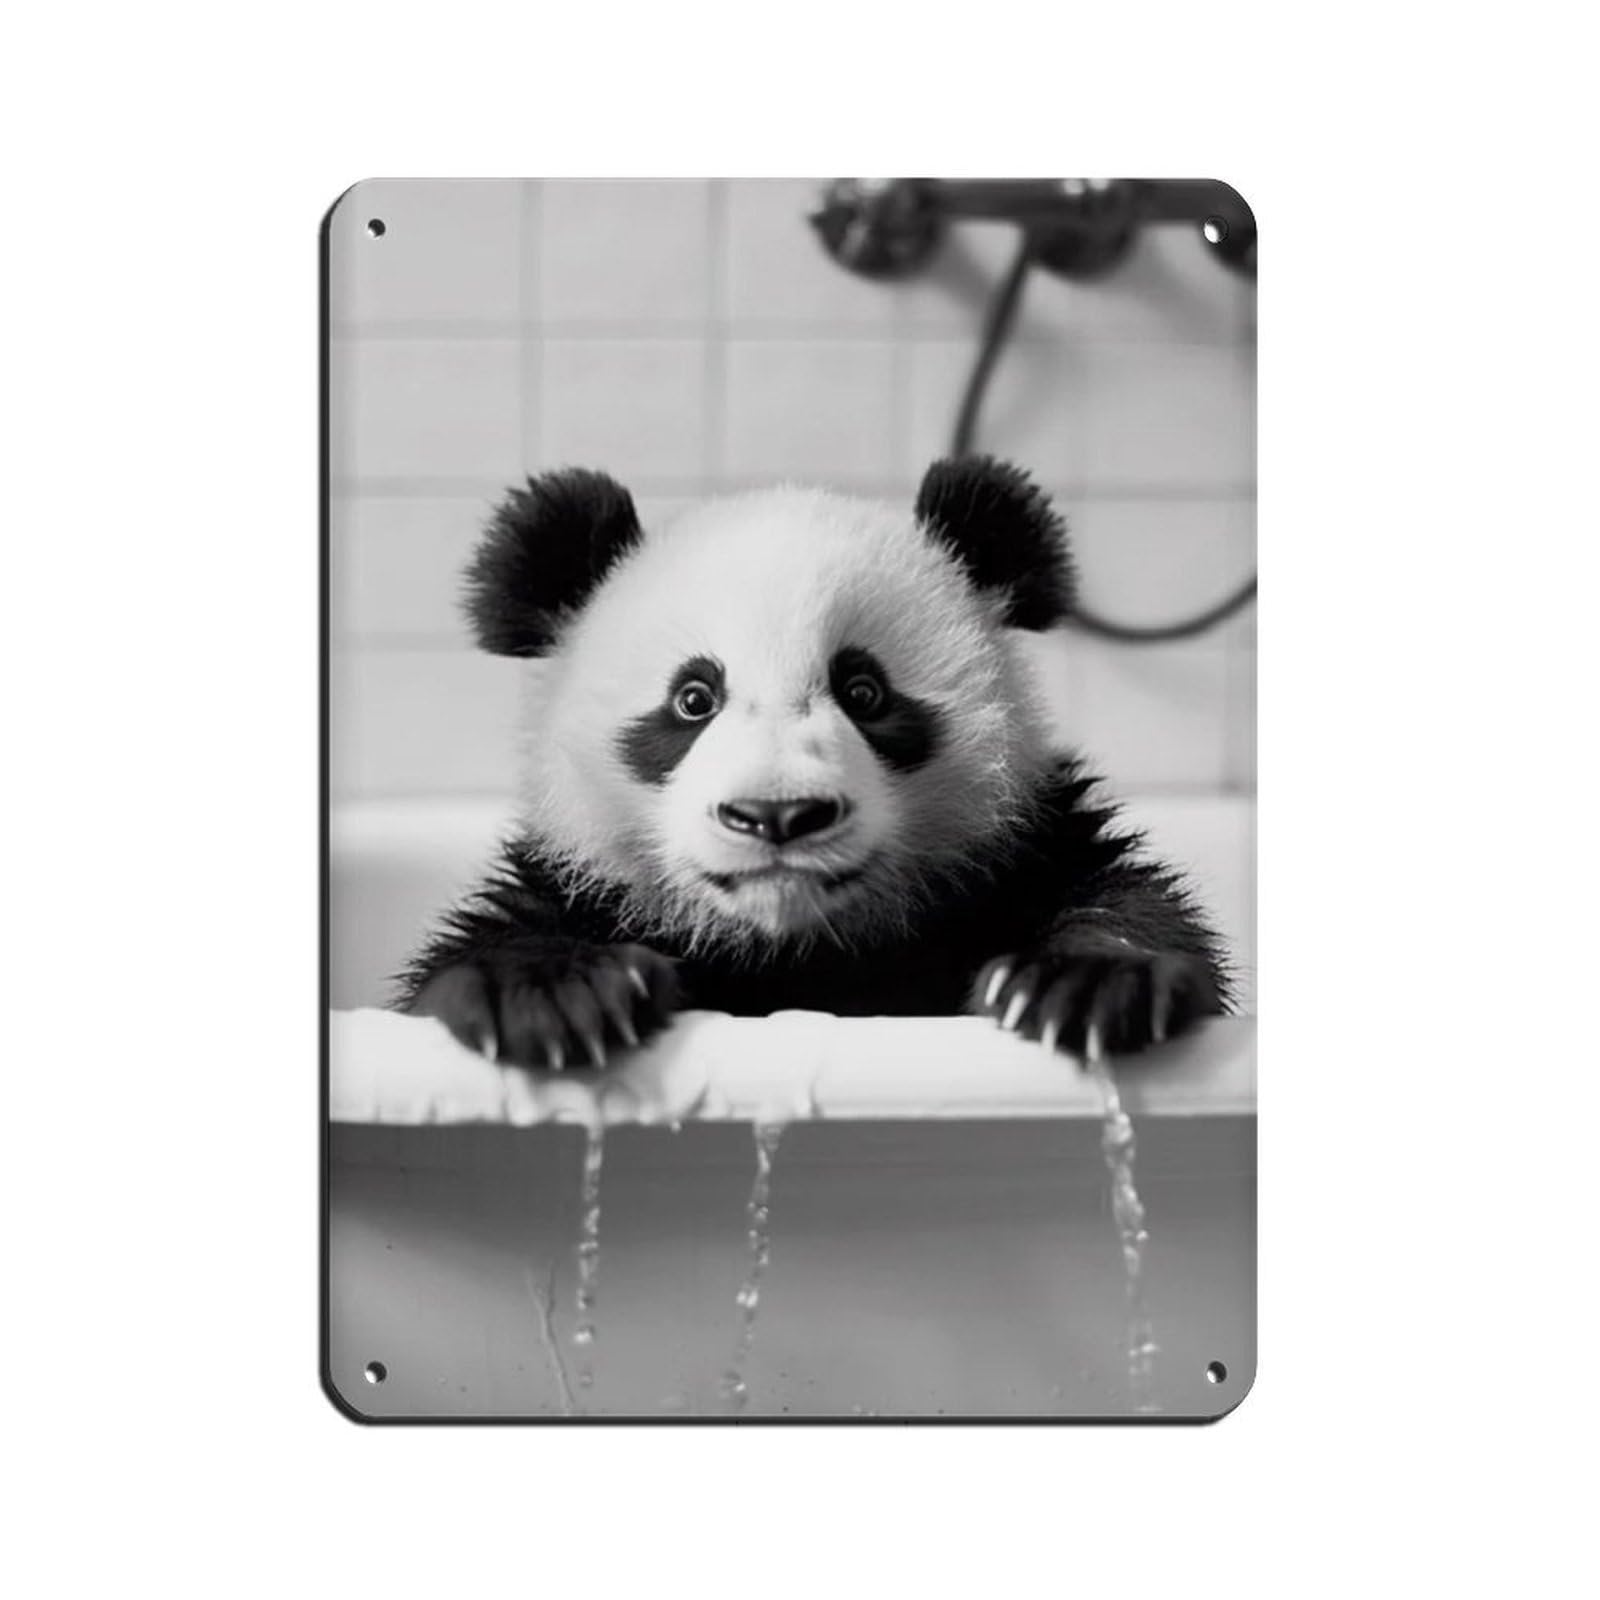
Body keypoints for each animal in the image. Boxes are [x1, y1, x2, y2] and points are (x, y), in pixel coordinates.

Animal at [399, 455, 1228, 1070]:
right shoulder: (582, 887)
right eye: (693, 699)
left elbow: (1124, 905)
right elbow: (488, 950)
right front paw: (551, 995)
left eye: (864, 691)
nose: (778, 815)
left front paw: (1088, 985)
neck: (797, 950)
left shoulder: (1021, 854)